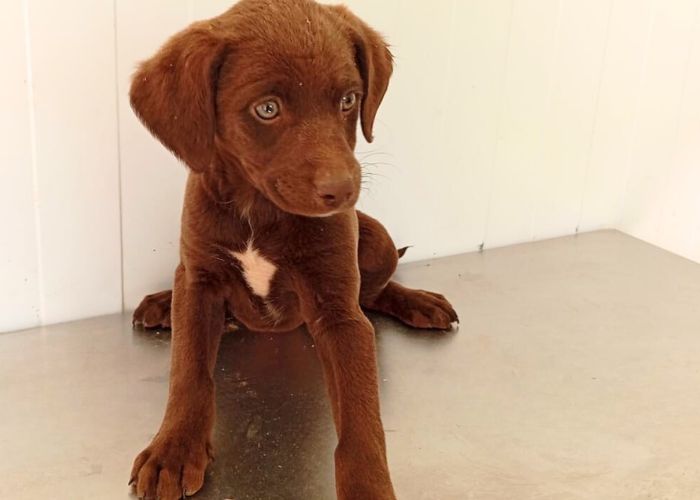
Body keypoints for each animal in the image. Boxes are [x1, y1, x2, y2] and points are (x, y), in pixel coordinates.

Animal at [128, 1, 458, 498]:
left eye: (348, 100)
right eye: (267, 109)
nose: (343, 191)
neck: (259, 212)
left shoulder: (339, 312)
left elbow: (362, 416)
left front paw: (369, 486)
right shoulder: (200, 280)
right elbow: (187, 371)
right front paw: (174, 449)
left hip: (376, 240)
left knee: (375, 291)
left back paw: (419, 301)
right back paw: (162, 304)